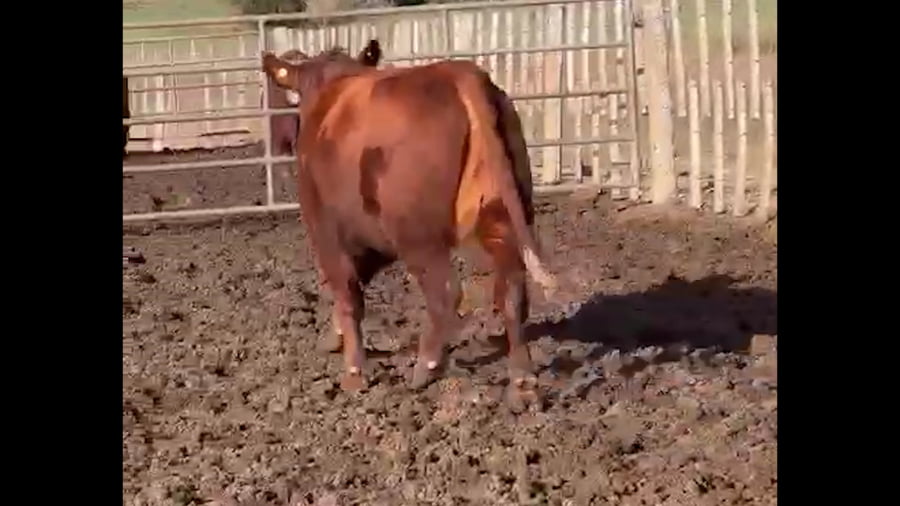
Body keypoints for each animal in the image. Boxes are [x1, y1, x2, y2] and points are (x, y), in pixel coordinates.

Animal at [261, 40, 556, 408]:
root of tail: (458, 74)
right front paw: (334, 338)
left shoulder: (327, 231)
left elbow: (347, 292)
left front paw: (354, 373)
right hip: (500, 216)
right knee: (512, 292)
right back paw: (522, 383)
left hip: (419, 237)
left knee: (446, 293)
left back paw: (425, 366)